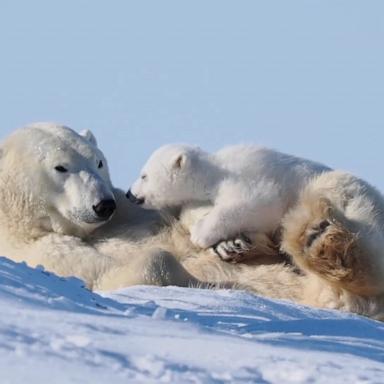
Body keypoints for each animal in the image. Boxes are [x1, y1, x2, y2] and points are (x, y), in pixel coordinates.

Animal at [128, 144, 330, 260]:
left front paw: (201, 235)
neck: (214, 173)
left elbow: (256, 202)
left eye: (144, 176)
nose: (129, 194)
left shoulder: (252, 179)